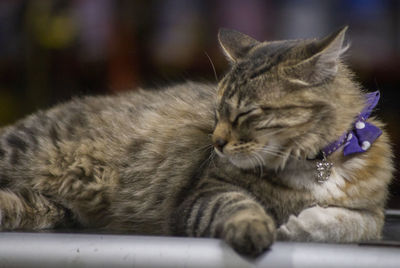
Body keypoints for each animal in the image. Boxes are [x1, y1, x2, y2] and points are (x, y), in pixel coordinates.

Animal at [0, 26, 394, 256]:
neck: (314, 163)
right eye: (216, 111)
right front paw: (258, 229)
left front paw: (300, 225)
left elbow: (348, 223)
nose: (215, 143)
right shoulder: (204, 194)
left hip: (45, 205)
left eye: (244, 114)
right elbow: (241, 206)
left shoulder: (372, 213)